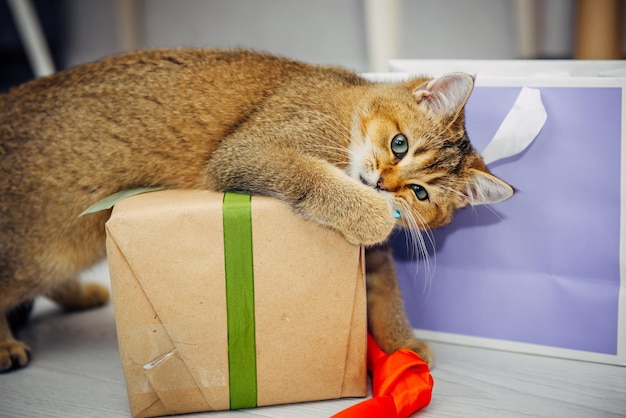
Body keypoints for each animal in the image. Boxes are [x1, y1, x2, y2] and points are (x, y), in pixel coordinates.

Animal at [0, 48, 512, 372]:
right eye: (400, 144)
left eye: (421, 194)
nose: (384, 185)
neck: (345, 106)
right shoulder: (248, 151)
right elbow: (313, 177)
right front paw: (367, 213)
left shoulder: (376, 260)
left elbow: (387, 294)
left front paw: (403, 343)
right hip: (42, 253)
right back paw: (7, 345)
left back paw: (81, 295)